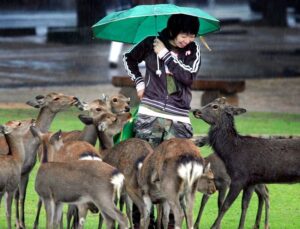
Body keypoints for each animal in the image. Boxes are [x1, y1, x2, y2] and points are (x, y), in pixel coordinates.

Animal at [192, 97, 300, 229]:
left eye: (215, 106)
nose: (195, 111)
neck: (232, 153)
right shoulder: (251, 181)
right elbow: (244, 205)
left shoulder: (238, 179)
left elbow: (225, 205)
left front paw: (214, 227)